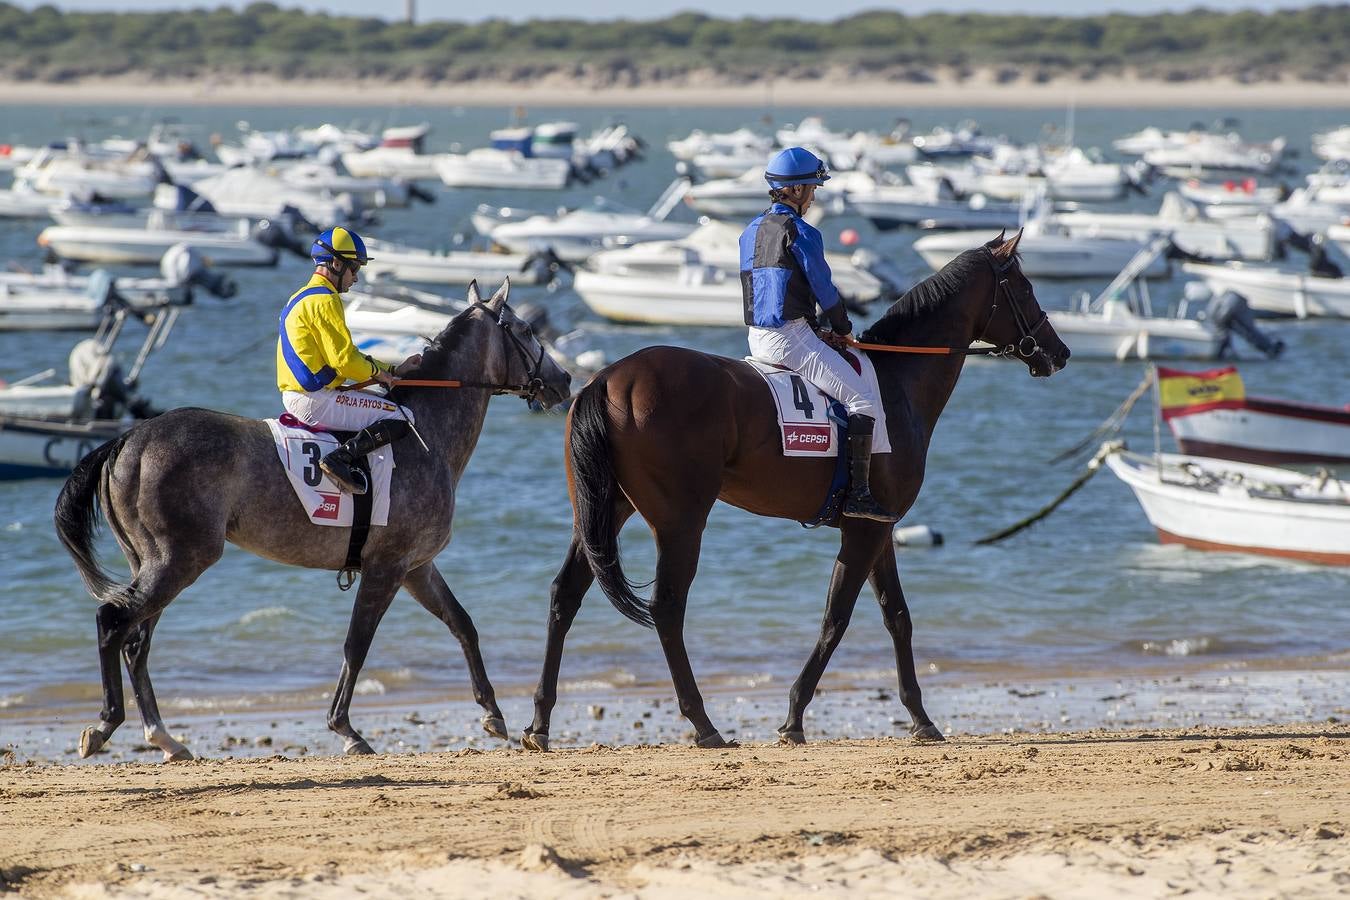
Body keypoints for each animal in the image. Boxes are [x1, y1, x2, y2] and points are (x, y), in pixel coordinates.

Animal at [51, 279, 569, 761]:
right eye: (526, 329)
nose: (563, 380)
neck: (426, 434)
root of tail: (128, 439)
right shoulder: (387, 567)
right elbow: (357, 644)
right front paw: (346, 730)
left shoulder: (417, 567)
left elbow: (462, 623)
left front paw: (493, 713)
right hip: (179, 558)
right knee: (114, 621)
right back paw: (105, 724)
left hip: (154, 562)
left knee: (136, 641)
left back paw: (165, 738)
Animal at [521, 234, 1069, 755]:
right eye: (1024, 287)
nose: (1059, 352)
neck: (898, 384)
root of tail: (608, 378)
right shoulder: (864, 531)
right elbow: (836, 618)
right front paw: (794, 717)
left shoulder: (879, 528)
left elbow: (897, 617)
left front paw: (920, 718)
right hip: (680, 524)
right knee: (667, 609)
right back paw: (703, 724)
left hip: (603, 513)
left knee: (564, 595)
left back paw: (540, 723)